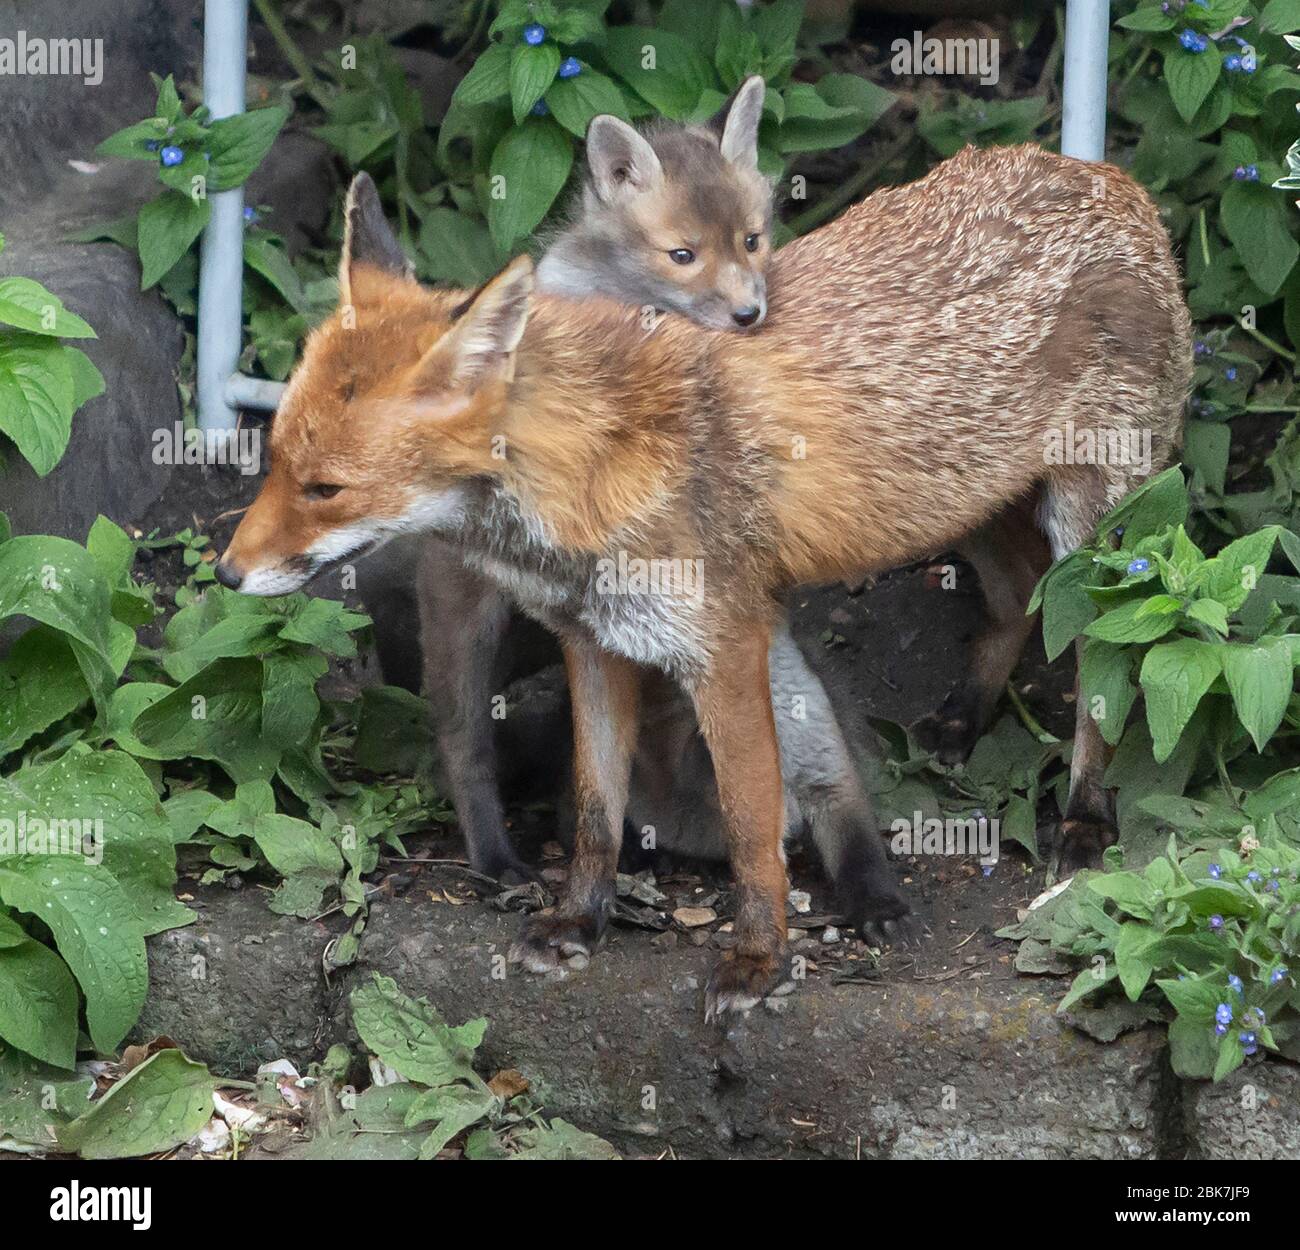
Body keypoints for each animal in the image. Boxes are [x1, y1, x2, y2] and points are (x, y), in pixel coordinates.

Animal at [218, 146, 1190, 1018]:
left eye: (325, 489)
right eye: (277, 462)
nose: (226, 572)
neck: (592, 474)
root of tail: (1109, 177)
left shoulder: (726, 646)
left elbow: (753, 827)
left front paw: (759, 961)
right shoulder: (596, 643)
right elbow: (596, 809)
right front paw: (580, 920)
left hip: (1091, 534)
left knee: (1100, 668)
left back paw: (1085, 817)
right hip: (961, 502)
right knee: (1019, 596)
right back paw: (964, 716)